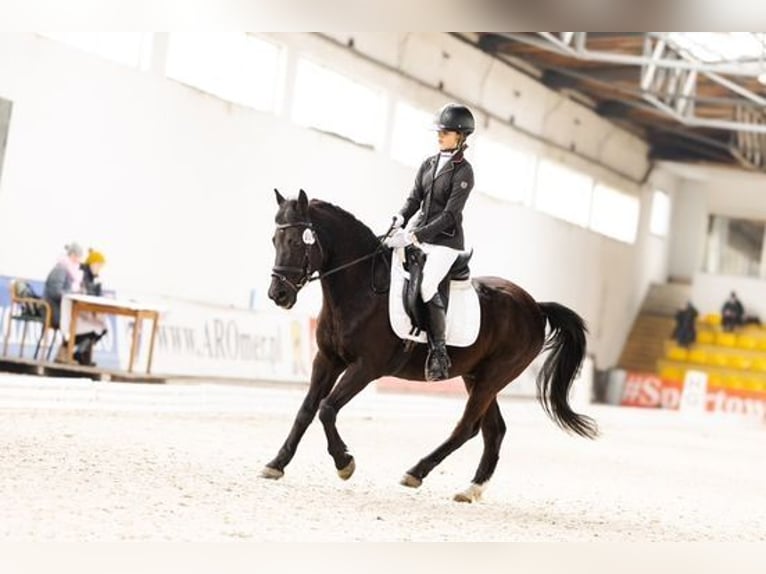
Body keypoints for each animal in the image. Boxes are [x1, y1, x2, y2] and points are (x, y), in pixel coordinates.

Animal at [264, 190, 600, 504]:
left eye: (295, 241)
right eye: (274, 240)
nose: (277, 294)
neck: (360, 289)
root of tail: (536, 307)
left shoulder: (366, 367)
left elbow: (327, 409)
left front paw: (344, 463)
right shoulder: (327, 359)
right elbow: (306, 410)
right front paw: (276, 464)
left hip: (494, 377)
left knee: (467, 428)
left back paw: (416, 472)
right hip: (476, 377)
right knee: (494, 430)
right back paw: (471, 489)